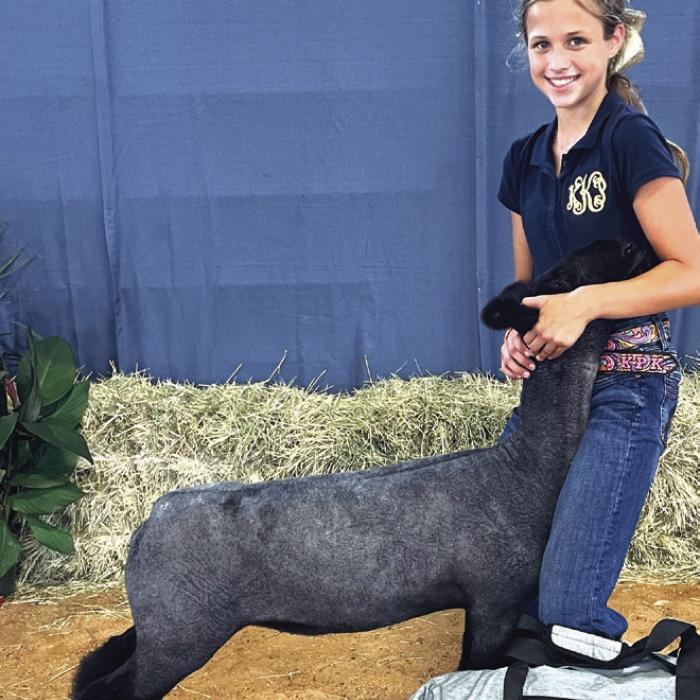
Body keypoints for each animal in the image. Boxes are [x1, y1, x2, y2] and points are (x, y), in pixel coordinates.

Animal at [72, 239, 653, 700]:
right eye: (562, 281)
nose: (631, 245)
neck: (525, 467)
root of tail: (150, 521)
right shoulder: (493, 600)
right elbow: (472, 665)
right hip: (180, 632)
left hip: (158, 629)